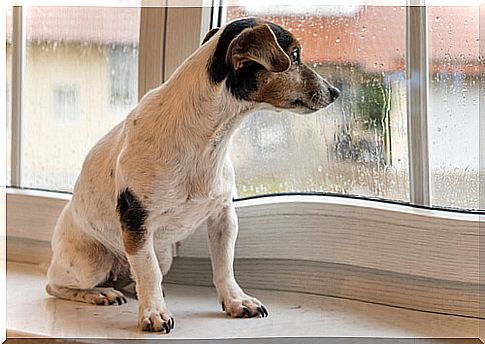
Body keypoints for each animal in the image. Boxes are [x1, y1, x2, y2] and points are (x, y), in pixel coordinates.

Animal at [46, 17, 340, 332]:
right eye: (294, 56)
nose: (336, 92)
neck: (208, 140)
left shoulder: (223, 216)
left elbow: (224, 266)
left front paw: (236, 301)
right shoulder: (137, 223)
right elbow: (148, 271)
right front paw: (154, 313)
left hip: (162, 254)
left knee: (136, 278)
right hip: (91, 263)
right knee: (57, 285)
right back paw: (101, 293)